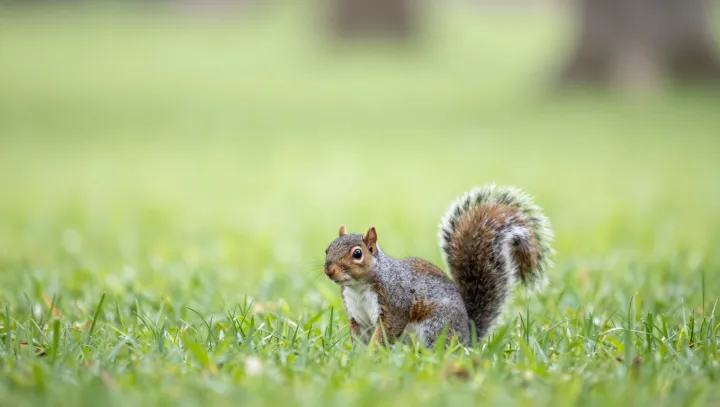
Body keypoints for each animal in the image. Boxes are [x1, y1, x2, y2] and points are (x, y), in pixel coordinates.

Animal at [323, 185, 554, 347]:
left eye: (357, 254)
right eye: (327, 249)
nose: (329, 270)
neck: (358, 287)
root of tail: (468, 338)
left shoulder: (395, 303)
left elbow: (387, 332)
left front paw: (373, 354)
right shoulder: (357, 317)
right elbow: (358, 340)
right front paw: (357, 359)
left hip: (435, 329)